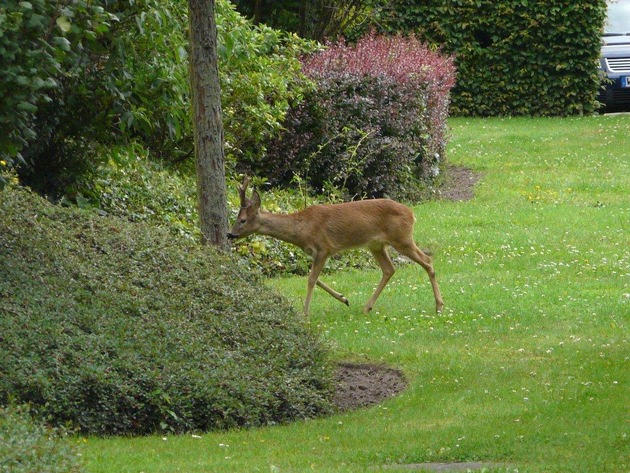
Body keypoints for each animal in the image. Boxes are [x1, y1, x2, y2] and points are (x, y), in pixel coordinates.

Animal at [228, 177, 444, 318]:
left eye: (242, 220)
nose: (230, 234)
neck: (301, 229)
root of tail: (412, 214)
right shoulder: (316, 252)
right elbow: (315, 278)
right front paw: (344, 298)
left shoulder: (323, 247)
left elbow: (311, 279)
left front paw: (305, 313)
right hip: (376, 245)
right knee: (389, 269)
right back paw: (366, 308)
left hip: (402, 238)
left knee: (427, 261)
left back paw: (439, 306)